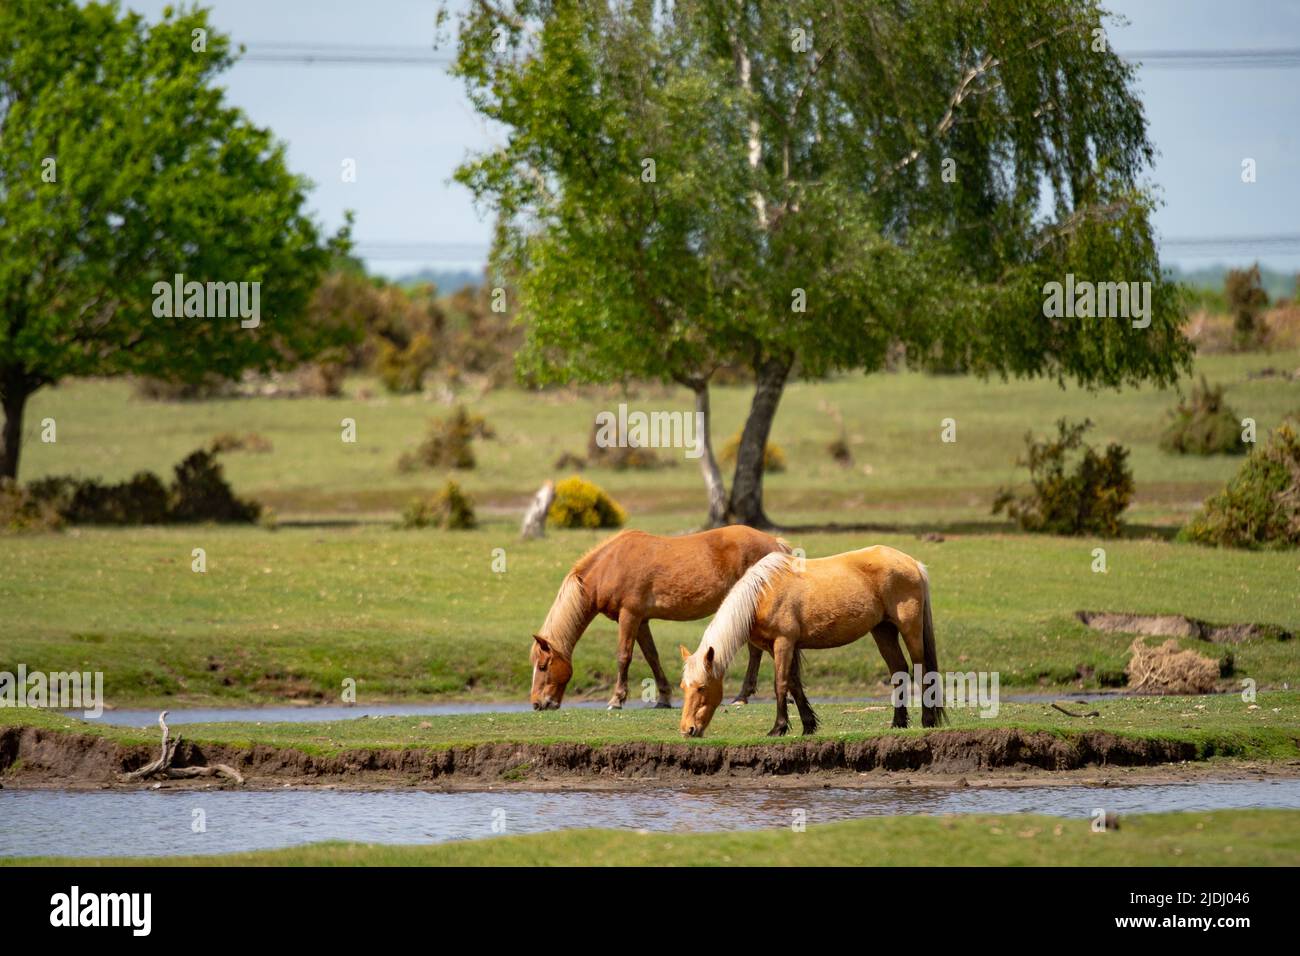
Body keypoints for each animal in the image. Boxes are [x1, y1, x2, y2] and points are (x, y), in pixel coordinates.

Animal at [530, 527, 790, 710]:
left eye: (543, 666)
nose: (537, 703)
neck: (610, 564)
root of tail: (775, 543)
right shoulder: (641, 621)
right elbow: (651, 657)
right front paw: (663, 697)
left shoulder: (629, 615)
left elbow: (624, 656)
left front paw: (616, 699)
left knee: (757, 651)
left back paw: (745, 696)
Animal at [678, 545, 945, 737]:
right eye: (683, 687)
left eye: (702, 687)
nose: (687, 730)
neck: (762, 595)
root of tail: (912, 563)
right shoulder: (779, 647)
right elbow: (794, 683)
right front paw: (808, 725)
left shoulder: (784, 642)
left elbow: (780, 684)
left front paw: (778, 728)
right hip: (883, 631)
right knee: (898, 670)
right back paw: (898, 723)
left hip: (909, 628)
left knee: (922, 670)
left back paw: (928, 720)